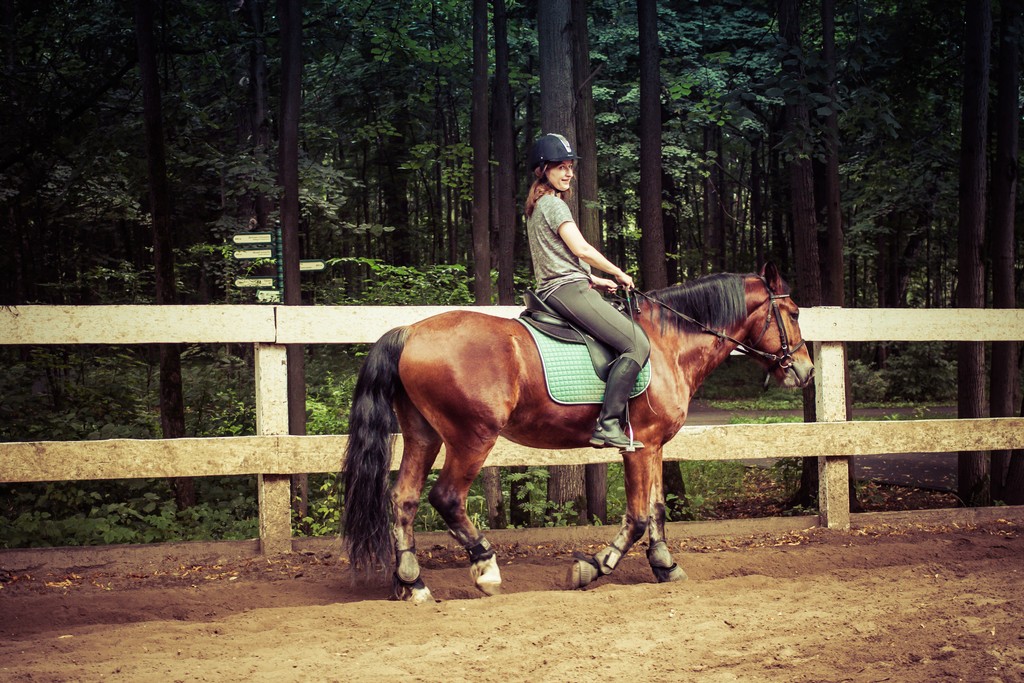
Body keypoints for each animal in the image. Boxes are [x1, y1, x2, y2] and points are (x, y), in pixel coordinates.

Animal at [339, 264, 811, 602]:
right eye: (792, 314)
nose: (805, 371)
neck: (668, 345)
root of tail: (410, 332)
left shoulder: (654, 445)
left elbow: (656, 509)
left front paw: (665, 565)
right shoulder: (637, 447)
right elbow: (638, 517)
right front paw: (594, 567)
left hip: (424, 435)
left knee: (403, 498)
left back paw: (412, 582)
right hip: (472, 437)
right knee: (446, 498)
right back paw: (486, 569)